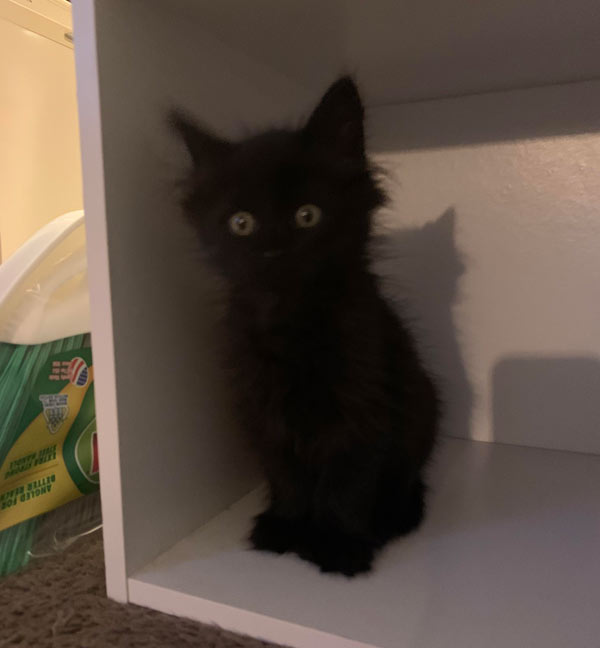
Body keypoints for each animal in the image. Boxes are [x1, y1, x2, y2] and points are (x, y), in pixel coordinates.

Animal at [171, 77, 438, 576]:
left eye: (307, 215)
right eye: (241, 223)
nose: (273, 250)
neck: (290, 325)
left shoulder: (363, 401)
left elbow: (348, 479)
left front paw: (337, 543)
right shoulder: (261, 404)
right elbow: (285, 472)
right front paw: (287, 526)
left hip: (419, 409)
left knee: (406, 478)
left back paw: (394, 516)